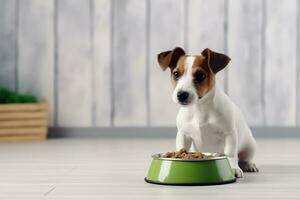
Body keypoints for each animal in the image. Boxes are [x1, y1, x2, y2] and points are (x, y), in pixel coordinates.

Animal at [158, 47, 258, 178]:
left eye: (200, 75)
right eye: (176, 74)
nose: (181, 95)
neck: (199, 108)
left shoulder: (229, 134)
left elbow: (230, 153)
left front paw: (233, 168)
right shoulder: (183, 134)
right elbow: (181, 147)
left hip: (250, 147)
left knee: (243, 159)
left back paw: (249, 165)